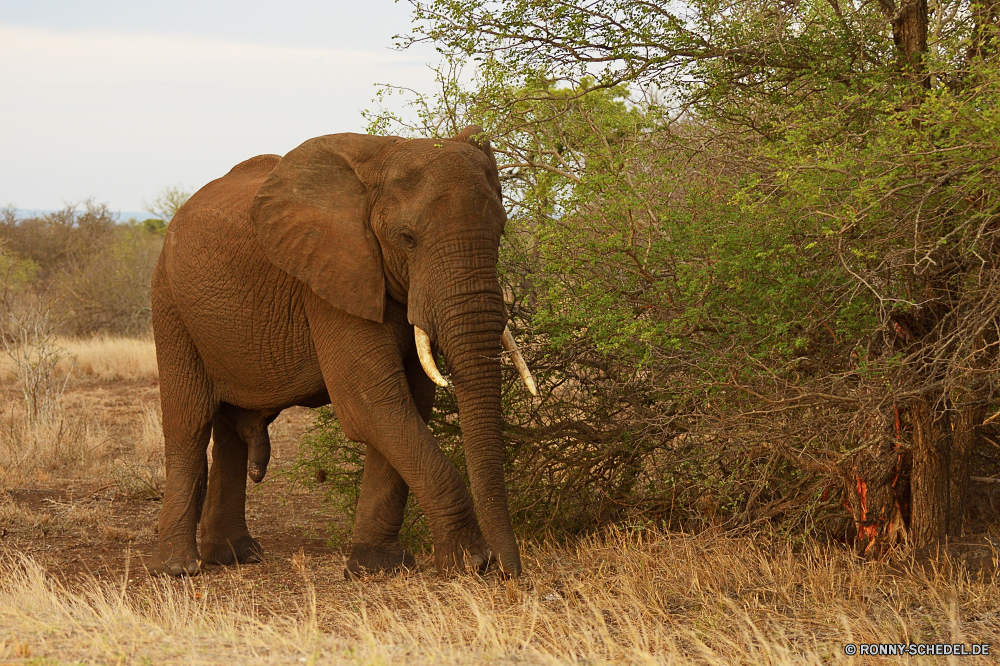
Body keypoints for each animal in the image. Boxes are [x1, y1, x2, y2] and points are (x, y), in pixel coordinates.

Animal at [146, 124, 540, 576]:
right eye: (407, 239)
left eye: (501, 231)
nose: (510, 571)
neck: (384, 159)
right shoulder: (328, 281)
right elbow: (372, 402)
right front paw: (469, 561)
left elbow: (406, 402)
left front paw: (376, 566)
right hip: (170, 302)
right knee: (188, 422)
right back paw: (178, 568)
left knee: (229, 432)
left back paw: (235, 556)